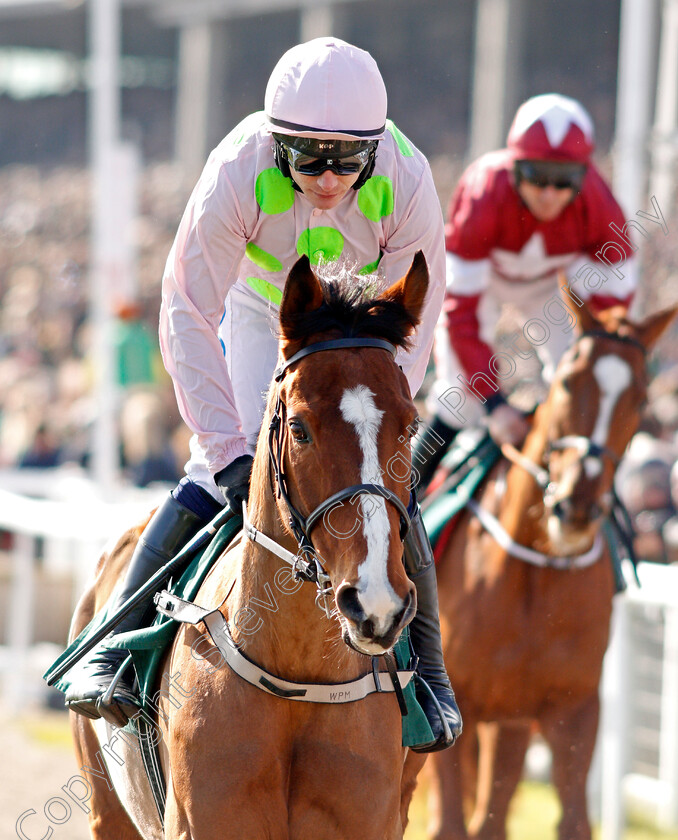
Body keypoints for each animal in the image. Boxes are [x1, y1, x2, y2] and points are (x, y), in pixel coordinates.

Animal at [428, 304, 676, 840]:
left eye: (640, 396)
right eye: (566, 382)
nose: (576, 507)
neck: (537, 568)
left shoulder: (573, 708)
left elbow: (574, 820)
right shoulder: (455, 708)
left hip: (512, 723)